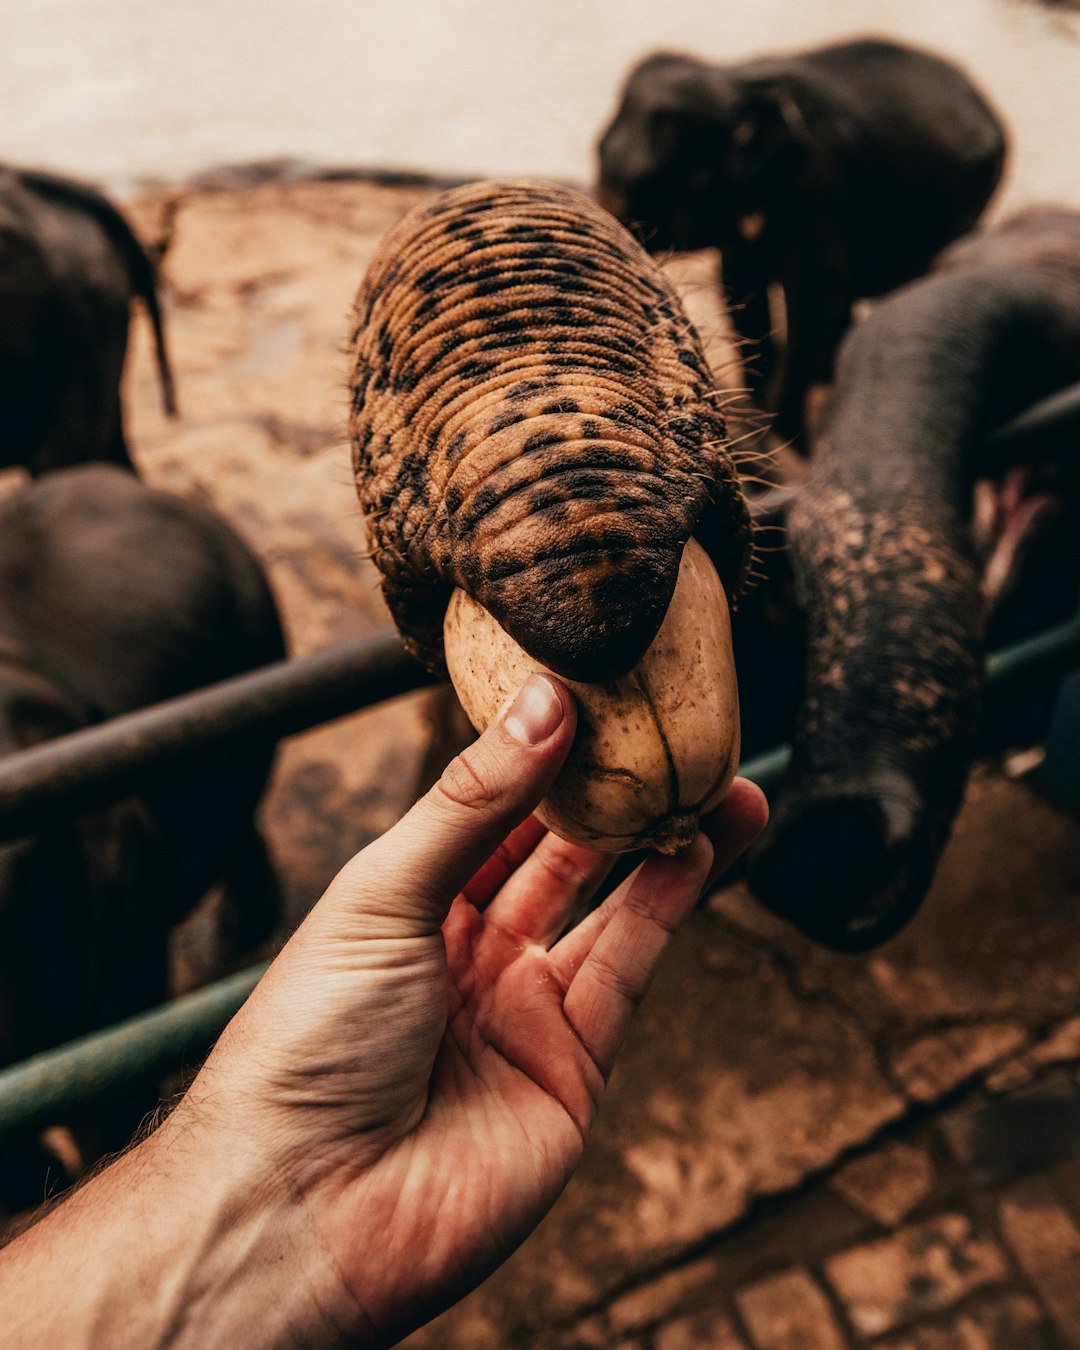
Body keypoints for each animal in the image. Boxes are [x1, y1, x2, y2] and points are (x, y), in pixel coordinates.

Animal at [594, 36, 1009, 442]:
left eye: (661, 184)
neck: (736, 79)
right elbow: (742, 282)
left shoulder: (818, 188)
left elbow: (814, 294)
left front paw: (785, 436)